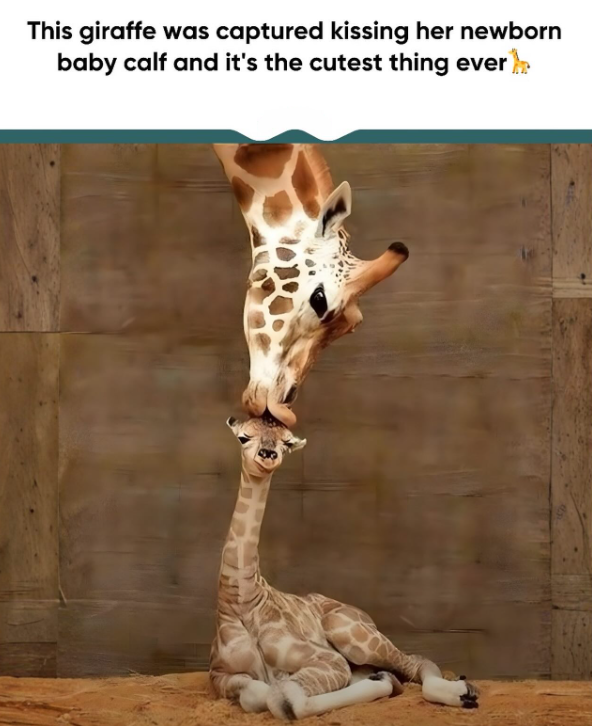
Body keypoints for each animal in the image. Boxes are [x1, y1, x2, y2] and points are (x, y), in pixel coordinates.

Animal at [209, 414, 480, 719]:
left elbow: (283, 697)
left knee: (416, 661)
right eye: (243, 437)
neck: (241, 597)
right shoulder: (218, 674)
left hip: (349, 632)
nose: (268, 455)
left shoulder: (328, 658)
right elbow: (255, 694)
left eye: (286, 443)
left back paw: (463, 691)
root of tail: (365, 616)